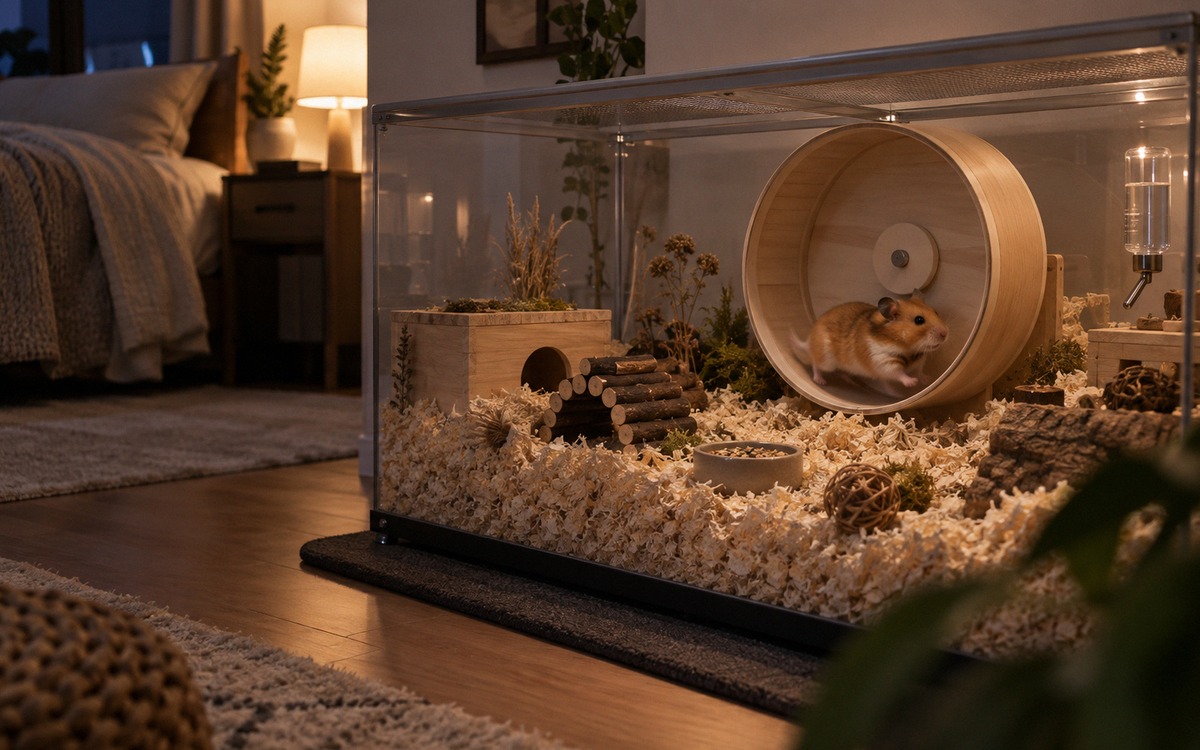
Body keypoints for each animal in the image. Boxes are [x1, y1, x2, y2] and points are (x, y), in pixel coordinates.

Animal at [791, 293, 949, 397]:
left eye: (935, 312)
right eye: (919, 320)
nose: (945, 334)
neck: (908, 349)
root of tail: (809, 340)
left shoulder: (918, 362)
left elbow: (919, 371)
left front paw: (927, 379)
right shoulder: (884, 362)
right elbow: (900, 374)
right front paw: (912, 383)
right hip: (826, 360)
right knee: (815, 364)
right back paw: (821, 381)